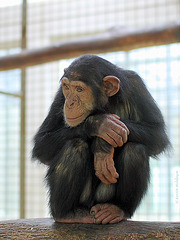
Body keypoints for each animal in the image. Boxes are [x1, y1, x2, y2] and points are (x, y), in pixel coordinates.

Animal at [32, 53, 169, 224]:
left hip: (103, 198)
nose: (69, 103)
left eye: (80, 89)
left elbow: (157, 134)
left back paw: (118, 208)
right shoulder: (60, 96)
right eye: (67, 87)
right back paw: (66, 213)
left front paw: (102, 144)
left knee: (135, 149)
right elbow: (42, 144)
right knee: (75, 146)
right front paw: (100, 125)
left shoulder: (136, 85)